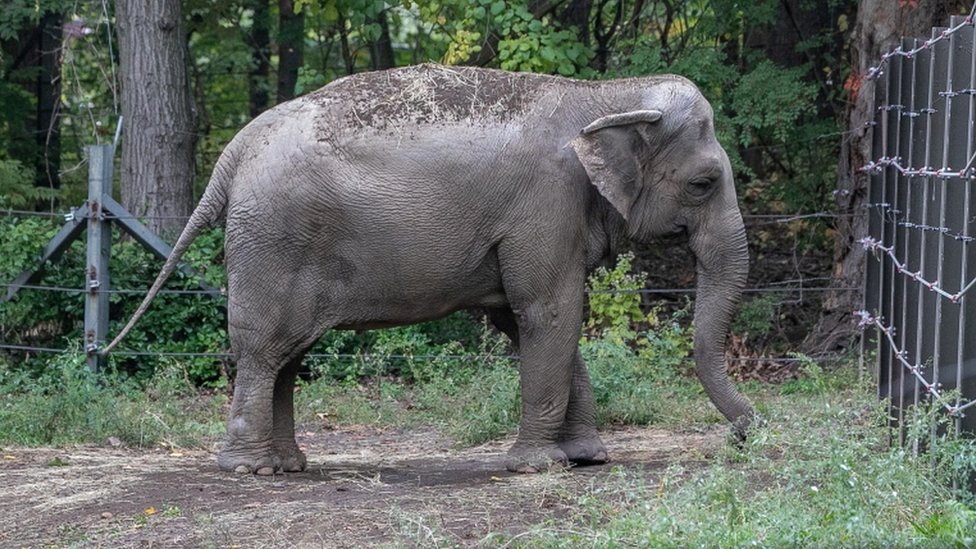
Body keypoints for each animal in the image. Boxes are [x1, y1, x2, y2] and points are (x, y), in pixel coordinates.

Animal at [105, 63, 752, 475]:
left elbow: (527, 319)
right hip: (273, 240)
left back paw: (288, 465)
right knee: (264, 349)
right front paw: (539, 467)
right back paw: (249, 471)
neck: (604, 95)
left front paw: (587, 458)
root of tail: (235, 151)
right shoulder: (546, 205)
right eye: (703, 183)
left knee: (288, 355)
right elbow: (551, 311)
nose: (746, 433)